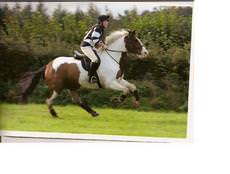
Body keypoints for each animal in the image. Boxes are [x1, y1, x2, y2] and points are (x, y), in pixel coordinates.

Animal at [18, 29, 148, 117]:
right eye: (135, 40)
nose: (146, 52)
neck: (112, 58)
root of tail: (48, 65)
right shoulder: (110, 83)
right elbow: (125, 90)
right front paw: (116, 100)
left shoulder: (119, 80)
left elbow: (132, 86)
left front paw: (137, 101)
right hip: (58, 87)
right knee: (49, 100)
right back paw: (54, 114)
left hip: (72, 86)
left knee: (77, 100)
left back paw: (93, 112)